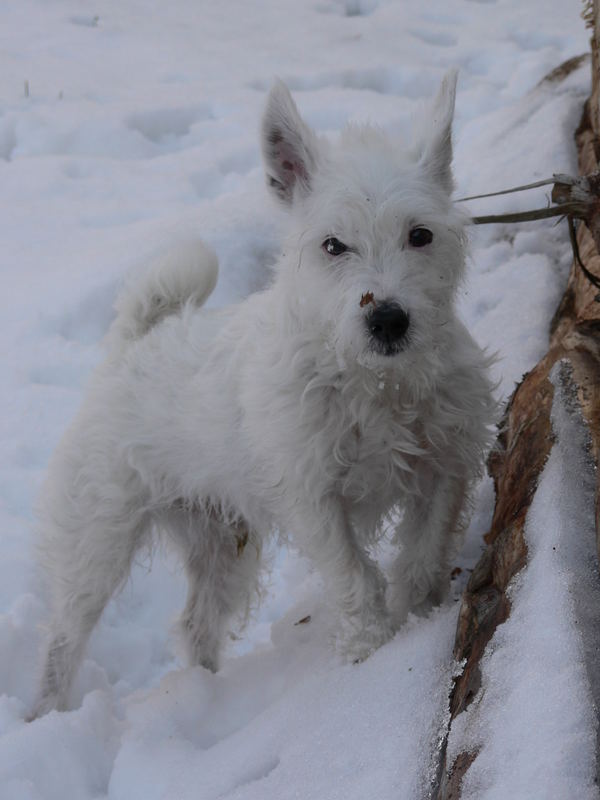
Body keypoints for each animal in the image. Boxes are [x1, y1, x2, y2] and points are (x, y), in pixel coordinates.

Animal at [30, 70, 494, 720]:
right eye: (333, 245)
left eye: (420, 235)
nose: (388, 320)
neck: (371, 380)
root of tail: (131, 346)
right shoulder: (313, 497)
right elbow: (354, 577)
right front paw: (370, 650)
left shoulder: (442, 469)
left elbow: (422, 556)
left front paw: (418, 620)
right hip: (96, 541)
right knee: (63, 639)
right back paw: (43, 713)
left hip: (221, 545)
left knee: (196, 624)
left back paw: (204, 692)